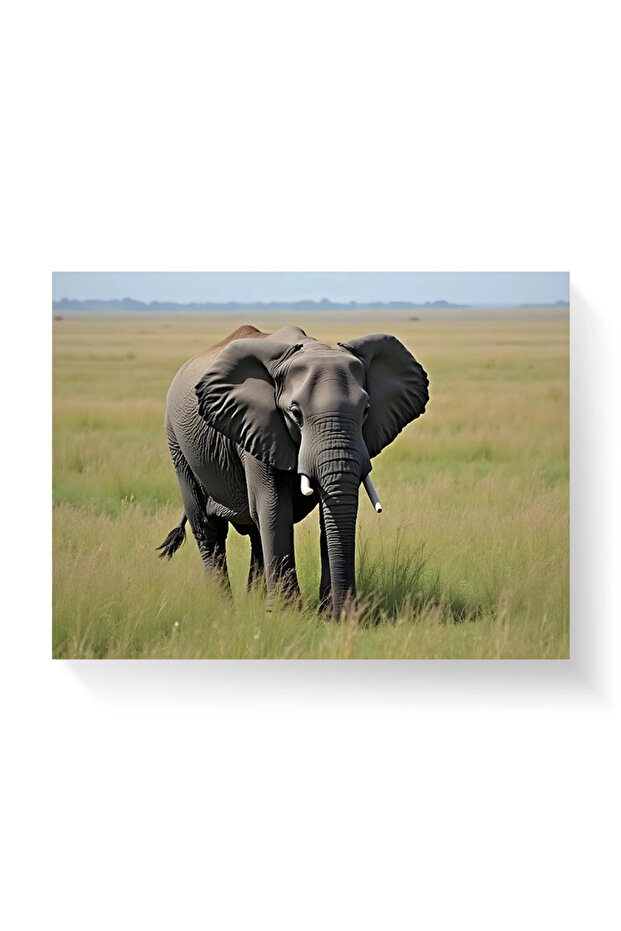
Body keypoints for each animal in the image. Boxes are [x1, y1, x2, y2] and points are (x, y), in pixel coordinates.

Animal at [157, 324, 429, 618]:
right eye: (295, 414)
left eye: (367, 410)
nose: (344, 616)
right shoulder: (257, 428)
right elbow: (275, 507)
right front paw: (287, 614)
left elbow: (326, 512)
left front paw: (323, 614)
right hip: (178, 444)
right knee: (209, 528)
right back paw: (222, 606)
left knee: (256, 532)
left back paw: (254, 602)